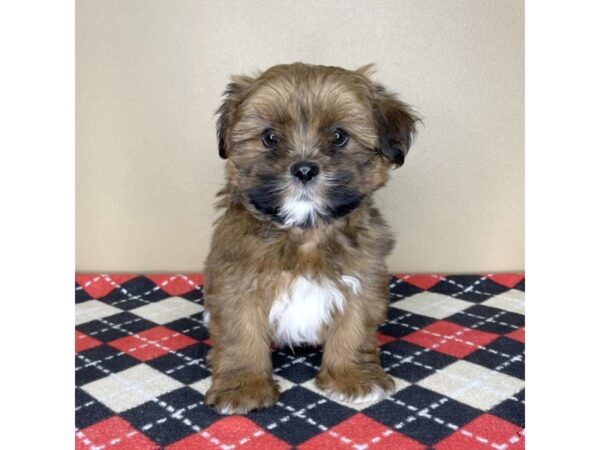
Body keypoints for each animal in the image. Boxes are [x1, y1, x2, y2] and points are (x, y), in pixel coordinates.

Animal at [203, 63, 418, 414]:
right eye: (270, 137)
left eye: (339, 136)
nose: (304, 169)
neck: (305, 230)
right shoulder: (237, 280)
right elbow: (240, 335)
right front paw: (244, 385)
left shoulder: (362, 278)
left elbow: (354, 328)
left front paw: (351, 375)